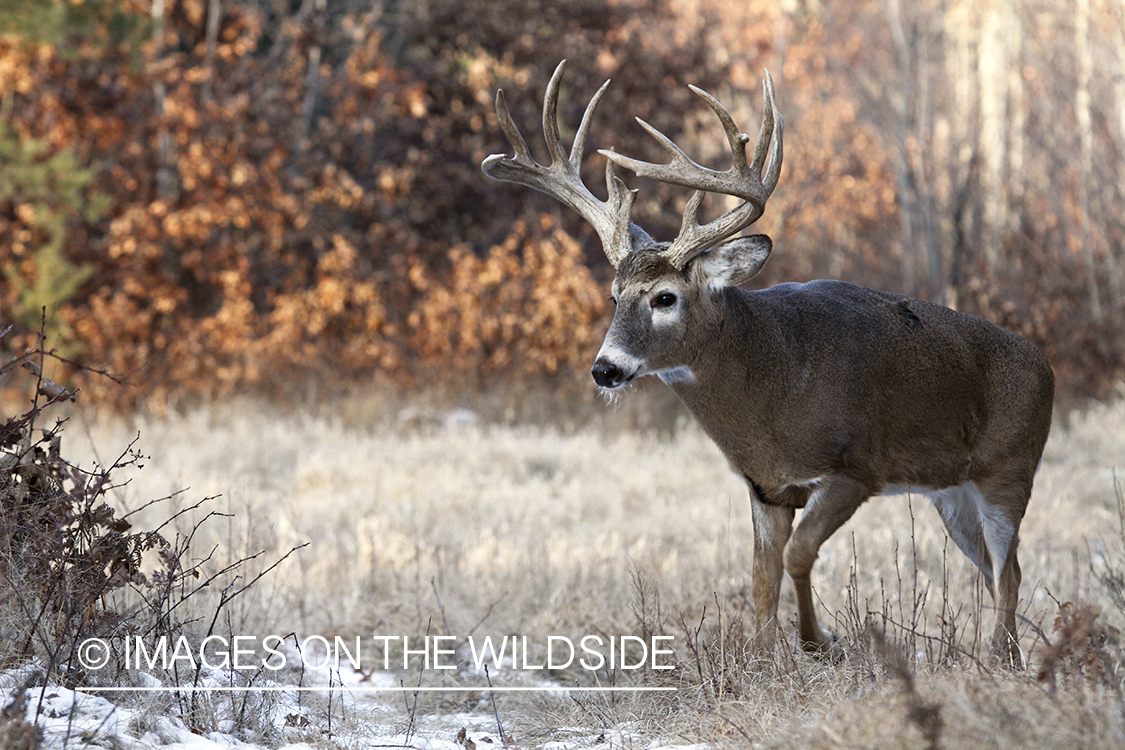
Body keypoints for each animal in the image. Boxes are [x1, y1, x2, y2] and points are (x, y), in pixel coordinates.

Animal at [481, 61, 1053, 665]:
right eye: (614, 297)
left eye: (665, 297)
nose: (605, 369)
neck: (774, 390)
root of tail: (1045, 364)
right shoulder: (764, 486)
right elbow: (761, 575)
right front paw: (761, 658)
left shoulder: (857, 467)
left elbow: (799, 554)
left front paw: (817, 642)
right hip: (950, 490)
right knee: (994, 567)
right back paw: (1004, 654)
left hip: (1010, 468)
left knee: (1009, 568)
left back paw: (1004, 657)